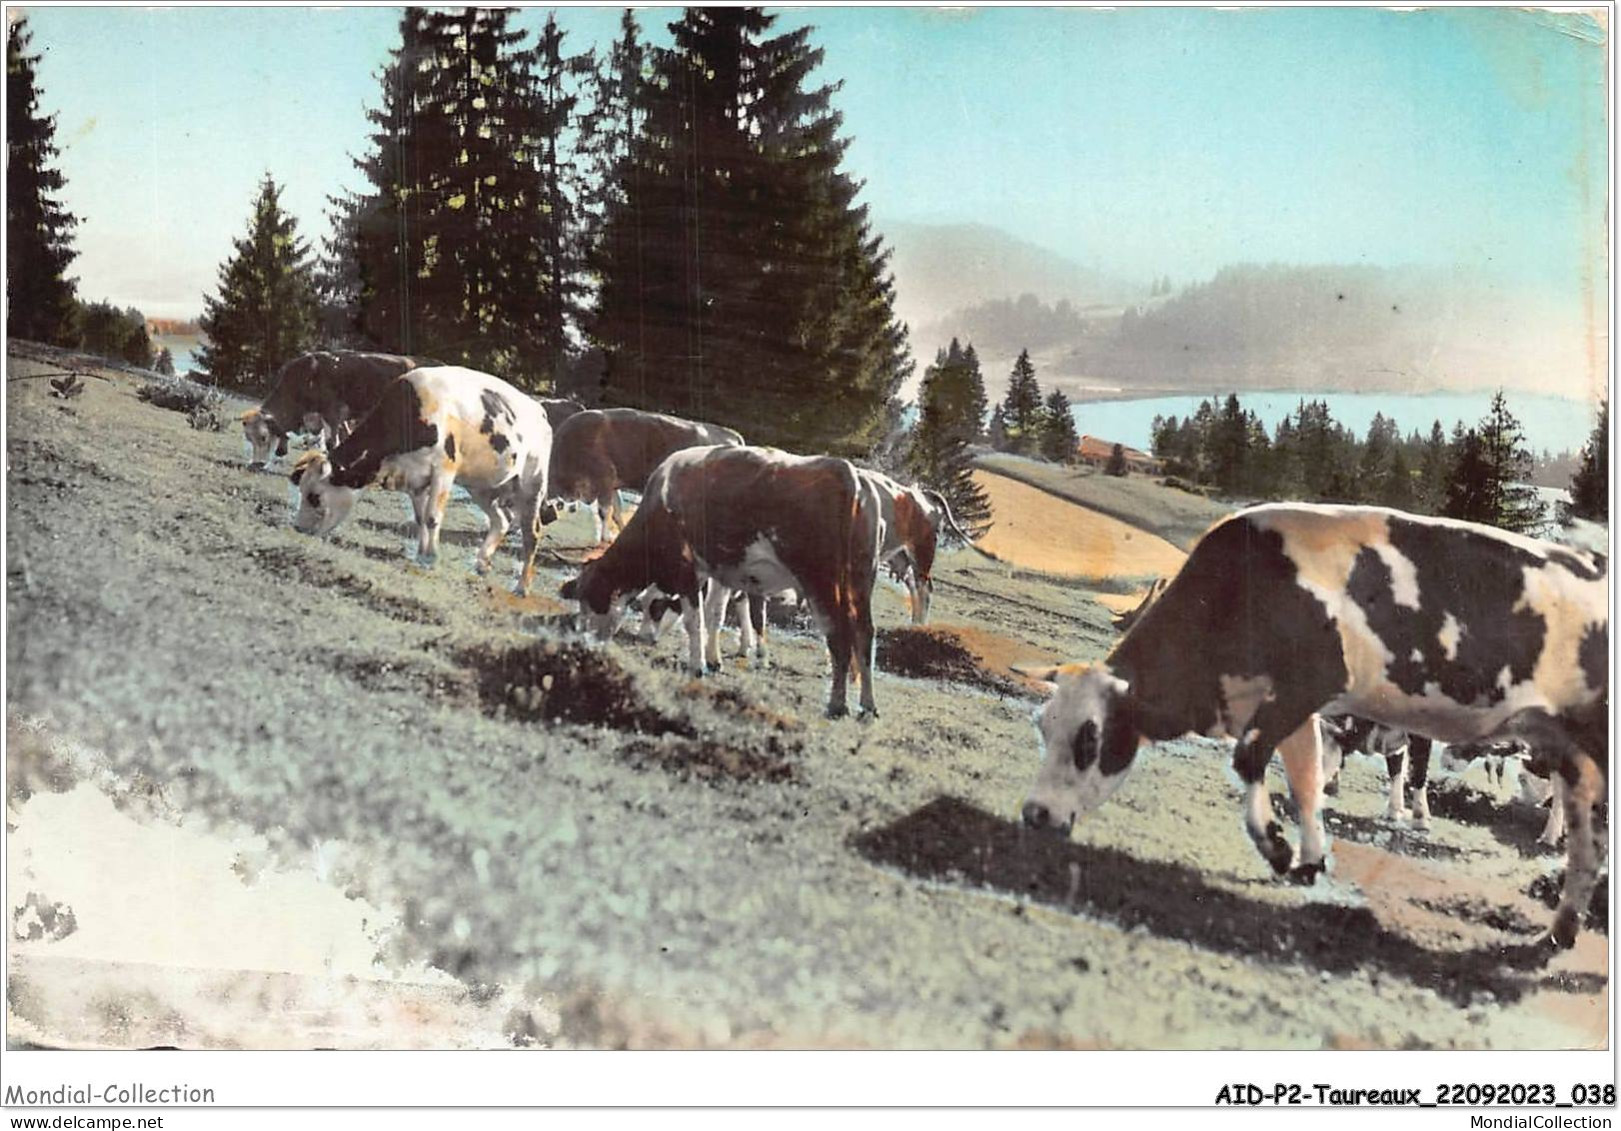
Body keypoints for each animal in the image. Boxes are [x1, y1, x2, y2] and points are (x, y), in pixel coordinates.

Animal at [236, 348, 434, 463]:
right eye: (248, 438)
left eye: (263, 437)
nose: (256, 464)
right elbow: (343, 436)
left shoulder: (332, 411)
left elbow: (332, 442)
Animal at [285, 366, 551, 596]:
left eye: (314, 497)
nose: (298, 528)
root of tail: (539, 410)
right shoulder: (414, 478)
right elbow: (420, 517)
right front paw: (421, 555)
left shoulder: (443, 470)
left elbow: (432, 517)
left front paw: (431, 558)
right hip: (481, 487)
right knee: (501, 520)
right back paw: (481, 563)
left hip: (532, 482)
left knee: (532, 532)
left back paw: (522, 587)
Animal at [547, 405, 742, 541]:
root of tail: (733, 436)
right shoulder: (613, 483)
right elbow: (617, 510)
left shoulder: (604, 479)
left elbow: (605, 511)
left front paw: (605, 537)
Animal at [560, 443, 888, 712]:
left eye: (589, 599)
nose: (583, 641)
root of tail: (847, 472)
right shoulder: (720, 571)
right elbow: (715, 614)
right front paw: (713, 660)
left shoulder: (687, 568)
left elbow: (694, 620)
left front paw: (698, 666)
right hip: (862, 579)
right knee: (865, 633)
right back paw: (868, 705)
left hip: (821, 579)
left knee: (839, 636)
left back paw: (837, 704)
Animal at [1017, 499, 1601, 939]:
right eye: (1043, 728)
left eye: (1090, 738)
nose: (1035, 814)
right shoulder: (1291, 709)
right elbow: (1304, 780)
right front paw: (1310, 859)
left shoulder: (1305, 687)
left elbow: (1251, 760)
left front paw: (1277, 849)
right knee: (1585, 842)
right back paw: (1558, 931)